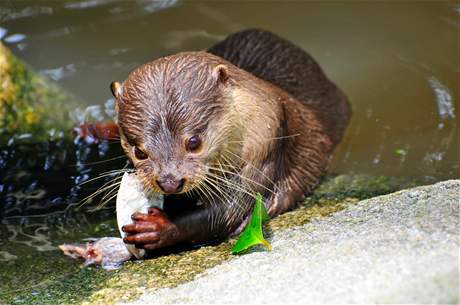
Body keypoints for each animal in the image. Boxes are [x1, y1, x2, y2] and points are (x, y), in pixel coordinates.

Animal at [109, 29, 350, 251]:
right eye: (139, 152)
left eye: (194, 142)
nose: (170, 182)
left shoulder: (264, 148)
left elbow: (226, 212)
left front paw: (159, 227)